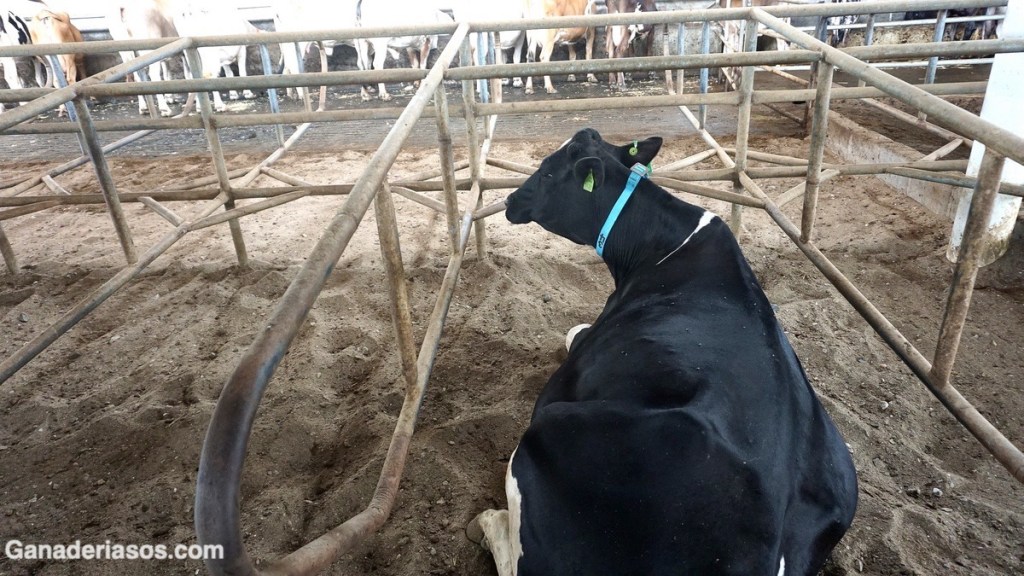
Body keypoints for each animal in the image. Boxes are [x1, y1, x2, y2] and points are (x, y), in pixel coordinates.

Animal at [468, 128, 858, 576]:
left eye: (548, 171)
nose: (511, 200)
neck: (660, 245)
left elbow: (572, 332)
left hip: (552, 430)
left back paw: (487, 522)